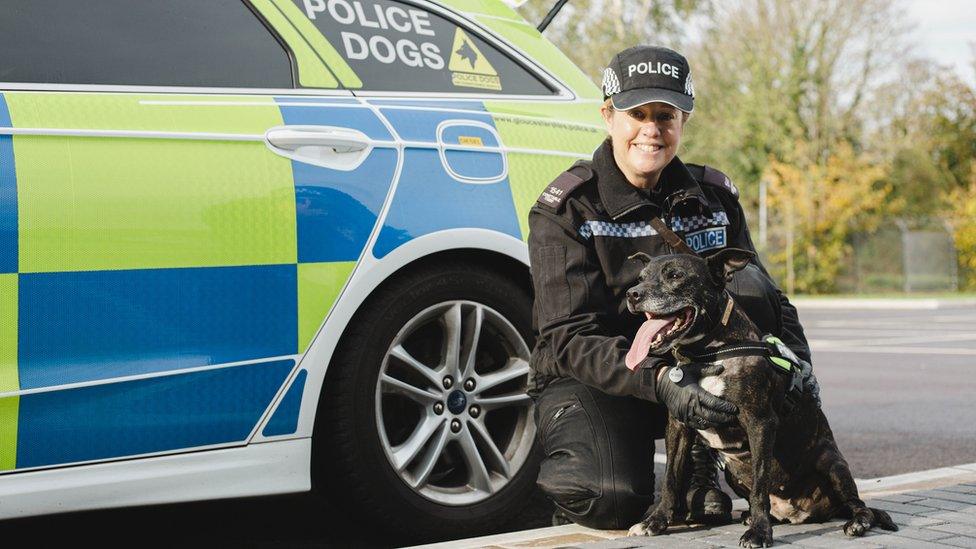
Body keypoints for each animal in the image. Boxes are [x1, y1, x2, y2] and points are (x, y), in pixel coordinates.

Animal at [624, 250, 892, 544]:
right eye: (640, 277)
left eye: (675, 275)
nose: (632, 294)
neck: (708, 352)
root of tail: (801, 513)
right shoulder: (678, 423)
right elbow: (671, 479)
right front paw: (655, 521)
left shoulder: (760, 423)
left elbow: (760, 485)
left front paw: (760, 532)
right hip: (733, 473)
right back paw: (751, 516)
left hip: (832, 463)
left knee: (859, 504)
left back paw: (856, 522)